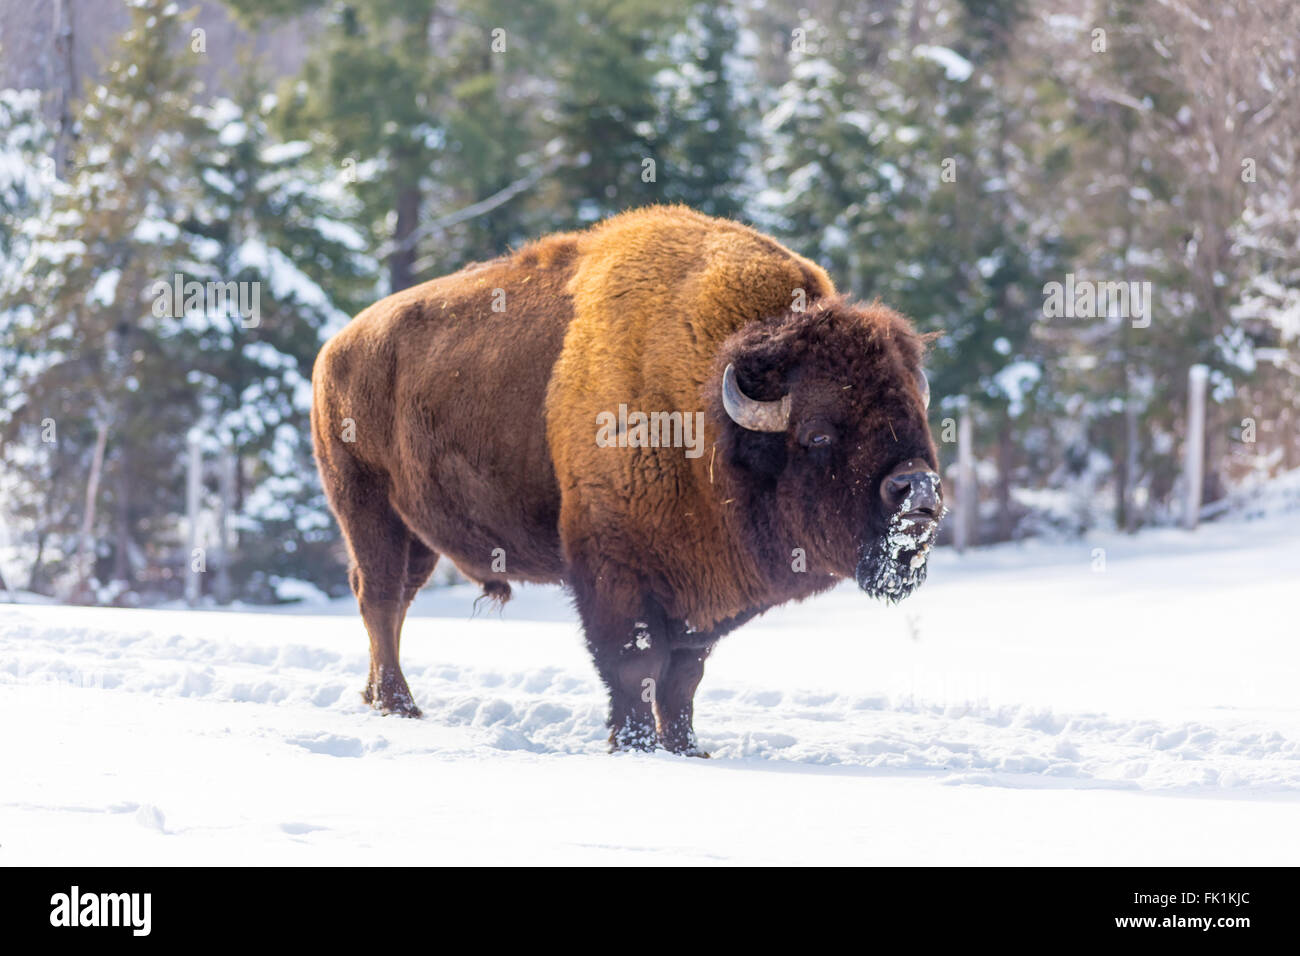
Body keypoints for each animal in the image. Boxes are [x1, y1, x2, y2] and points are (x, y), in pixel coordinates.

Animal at [314, 208, 946, 754]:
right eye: (817, 435)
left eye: (917, 418)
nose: (918, 490)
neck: (706, 411)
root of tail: (334, 349)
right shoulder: (616, 571)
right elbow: (635, 664)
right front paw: (636, 745)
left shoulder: (699, 592)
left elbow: (684, 678)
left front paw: (687, 748)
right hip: (367, 511)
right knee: (379, 598)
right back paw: (399, 705)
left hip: (417, 533)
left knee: (395, 601)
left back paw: (379, 697)